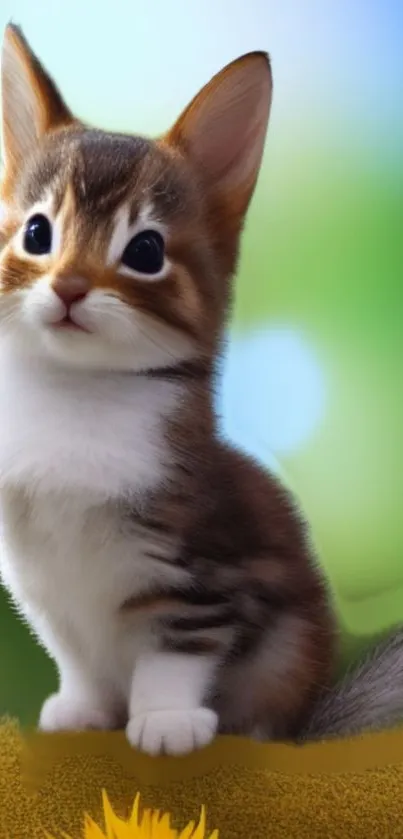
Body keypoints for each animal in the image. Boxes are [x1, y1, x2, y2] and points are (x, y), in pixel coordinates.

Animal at [0, 24, 402, 756]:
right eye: (38, 233)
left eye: (145, 251)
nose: (68, 286)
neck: (81, 396)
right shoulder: (42, 585)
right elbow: (74, 654)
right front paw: (82, 708)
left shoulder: (205, 574)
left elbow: (174, 652)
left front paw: (165, 719)